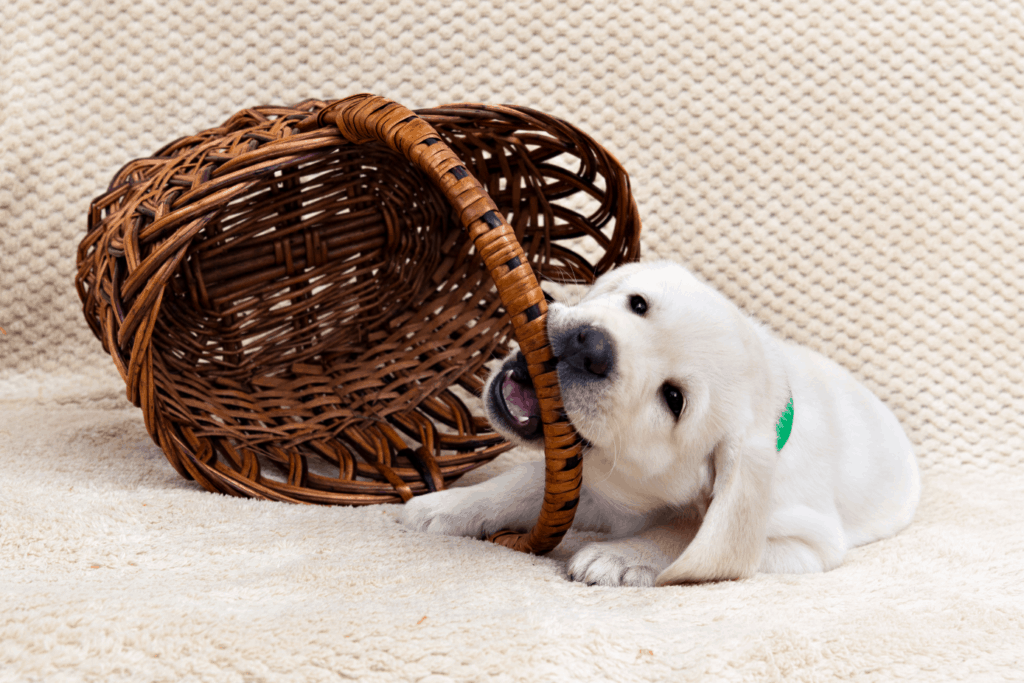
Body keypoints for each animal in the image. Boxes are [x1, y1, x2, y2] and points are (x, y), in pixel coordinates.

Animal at [401, 261, 920, 586]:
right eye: (637, 304)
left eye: (673, 399)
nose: (591, 348)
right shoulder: (601, 490)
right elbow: (522, 482)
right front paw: (446, 505)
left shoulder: (804, 543)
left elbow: (690, 535)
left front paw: (620, 555)